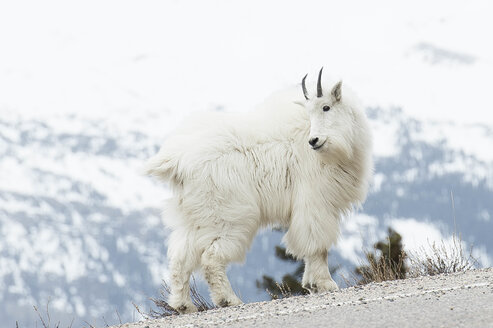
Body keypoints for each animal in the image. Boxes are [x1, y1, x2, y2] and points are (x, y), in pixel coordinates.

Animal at [146, 67, 372, 312]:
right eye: (311, 110)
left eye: (326, 107)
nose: (314, 141)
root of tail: (177, 161)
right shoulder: (315, 200)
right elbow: (317, 244)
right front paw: (325, 283)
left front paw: (311, 284)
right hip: (227, 214)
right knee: (211, 257)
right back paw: (229, 299)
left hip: (194, 217)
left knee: (181, 257)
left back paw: (183, 305)